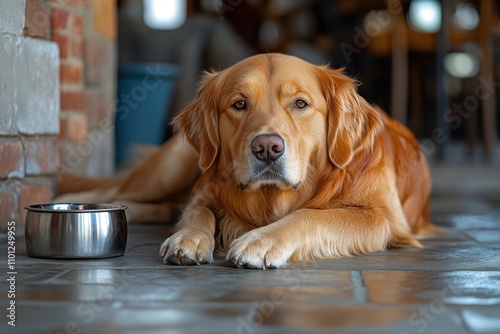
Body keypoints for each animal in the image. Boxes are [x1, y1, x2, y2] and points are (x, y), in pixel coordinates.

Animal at [54, 54, 434, 268]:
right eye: (239, 104)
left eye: (300, 103)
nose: (267, 147)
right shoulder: (203, 192)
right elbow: (199, 210)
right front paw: (188, 237)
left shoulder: (383, 219)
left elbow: (311, 214)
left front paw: (261, 240)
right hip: (172, 168)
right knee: (120, 191)